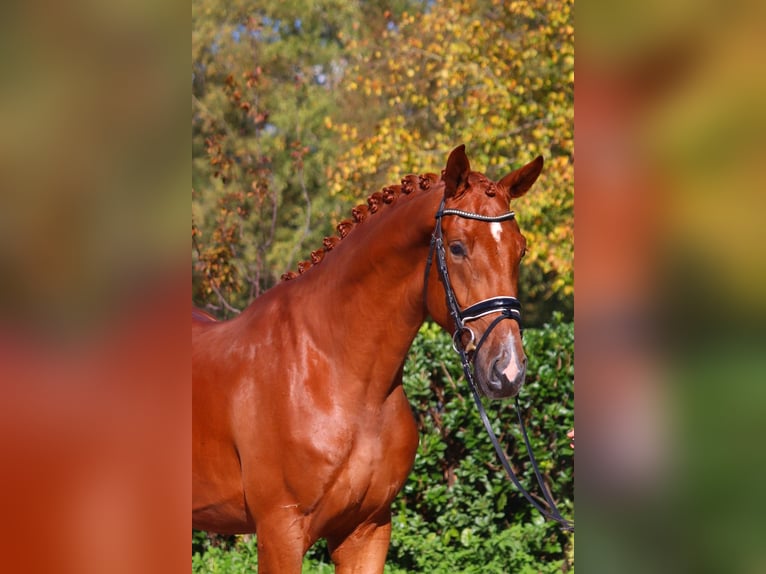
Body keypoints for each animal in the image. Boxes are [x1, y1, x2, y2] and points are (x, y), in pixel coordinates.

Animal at [196, 146, 544, 572]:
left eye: (520, 249)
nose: (507, 368)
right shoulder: (280, 532)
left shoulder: (367, 530)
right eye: (458, 247)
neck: (337, 374)